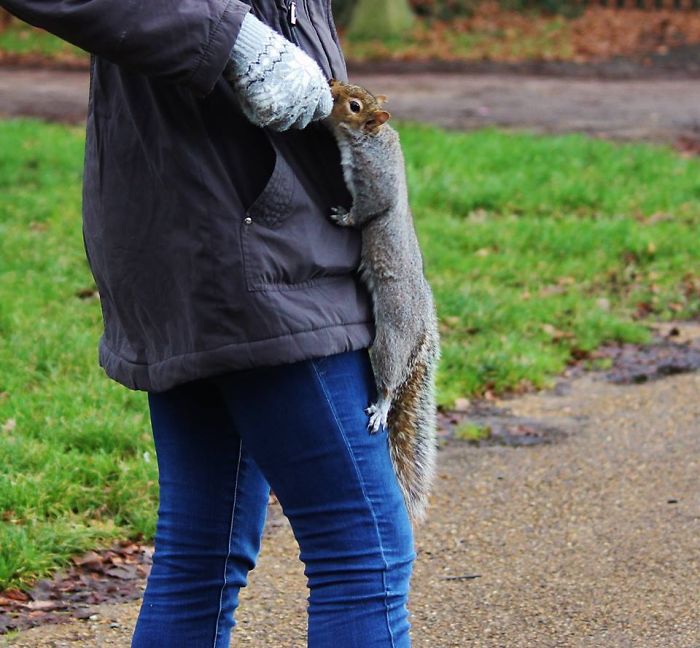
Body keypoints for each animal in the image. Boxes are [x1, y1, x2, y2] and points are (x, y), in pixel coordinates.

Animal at [324, 79, 440, 522]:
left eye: (354, 105)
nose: (330, 84)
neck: (373, 139)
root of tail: (419, 331)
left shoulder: (374, 184)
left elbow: (366, 212)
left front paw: (343, 217)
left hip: (389, 339)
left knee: (388, 377)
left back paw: (380, 406)